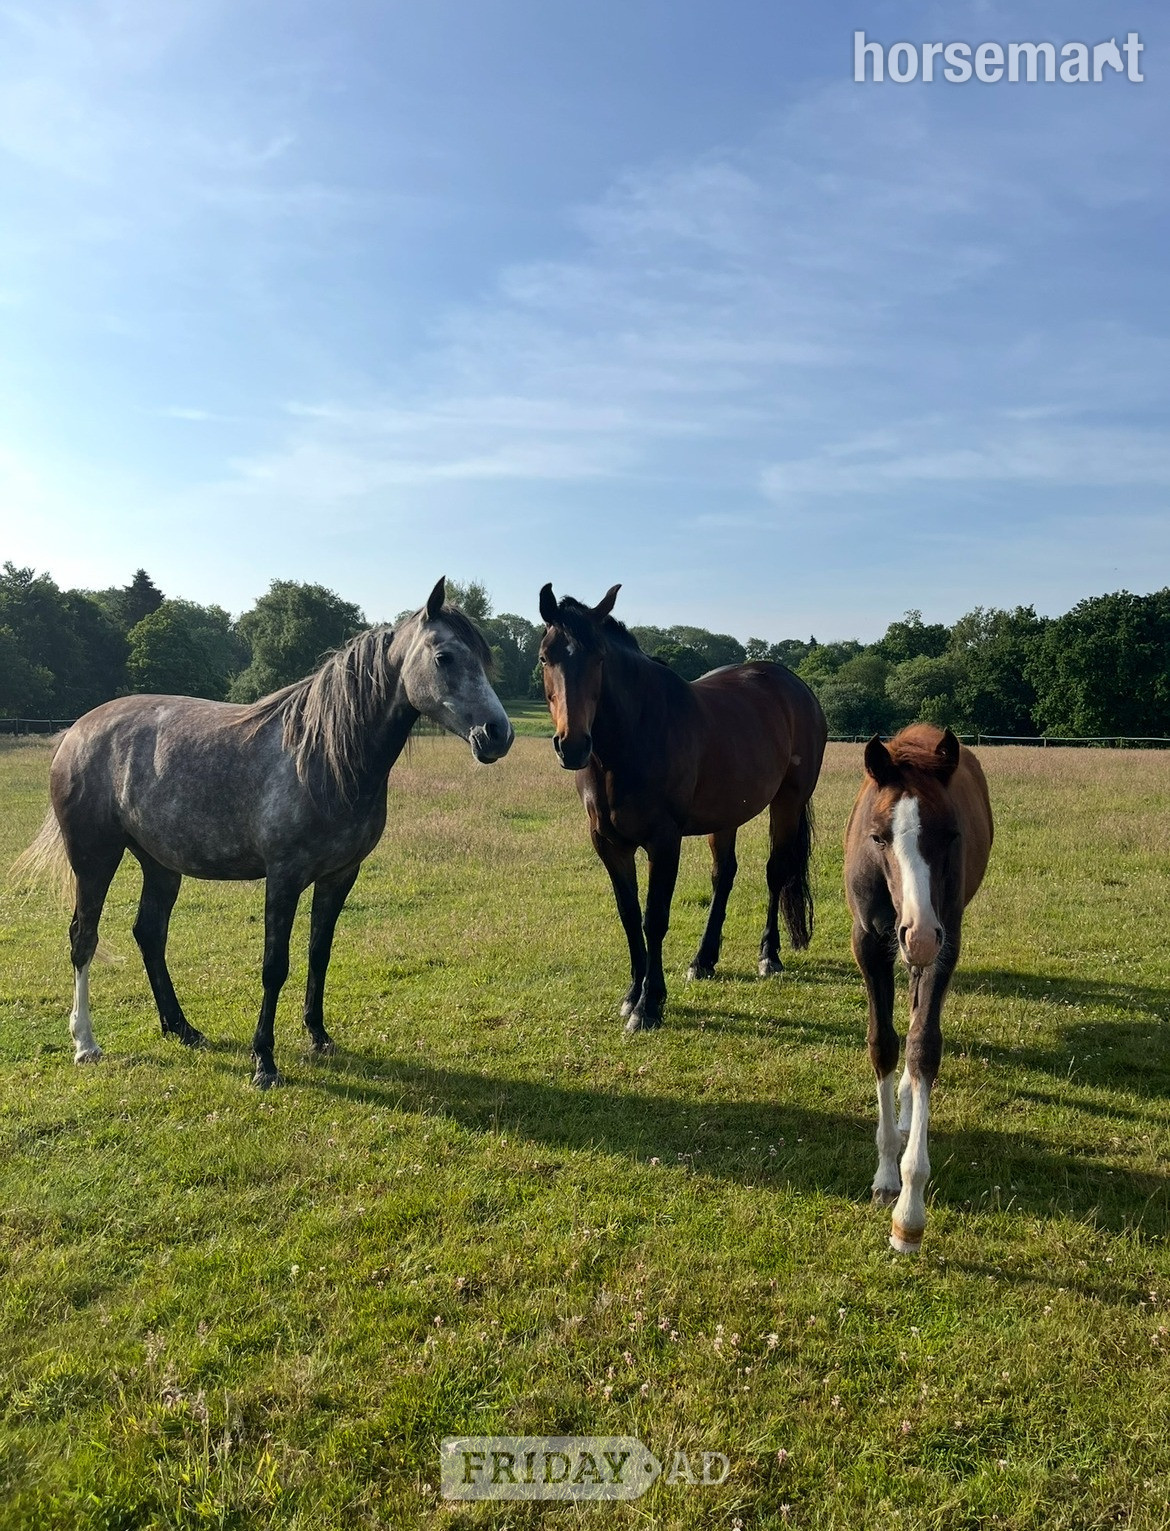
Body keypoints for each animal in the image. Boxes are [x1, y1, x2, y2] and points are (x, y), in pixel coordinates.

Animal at [13, 578, 513, 1087]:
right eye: (444, 657)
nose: (498, 734)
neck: (324, 757)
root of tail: (76, 731)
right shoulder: (284, 877)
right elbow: (275, 966)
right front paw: (264, 1061)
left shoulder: (340, 875)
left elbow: (319, 953)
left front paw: (319, 1036)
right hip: (94, 858)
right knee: (84, 938)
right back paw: (86, 1043)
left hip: (160, 863)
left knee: (149, 934)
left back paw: (182, 1028)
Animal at [537, 583, 827, 1034]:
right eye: (545, 657)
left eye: (599, 657)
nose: (573, 746)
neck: (628, 742)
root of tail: (798, 687)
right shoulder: (608, 843)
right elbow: (628, 915)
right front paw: (632, 995)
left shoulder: (664, 841)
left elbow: (654, 918)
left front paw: (649, 1005)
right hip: (726, 816)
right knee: (723, 876)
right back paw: (703, 960)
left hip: (788, 802)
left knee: (776, 873)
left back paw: (769, 956)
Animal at [844, 724, 993, 1253]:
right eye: (878, 836)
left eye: (950, 835)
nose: (920, 934)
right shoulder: (869, 943)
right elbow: (882, 1045)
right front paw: (886, 1175)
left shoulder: (946, 943)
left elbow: (922, 1046)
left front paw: (909, 1213)